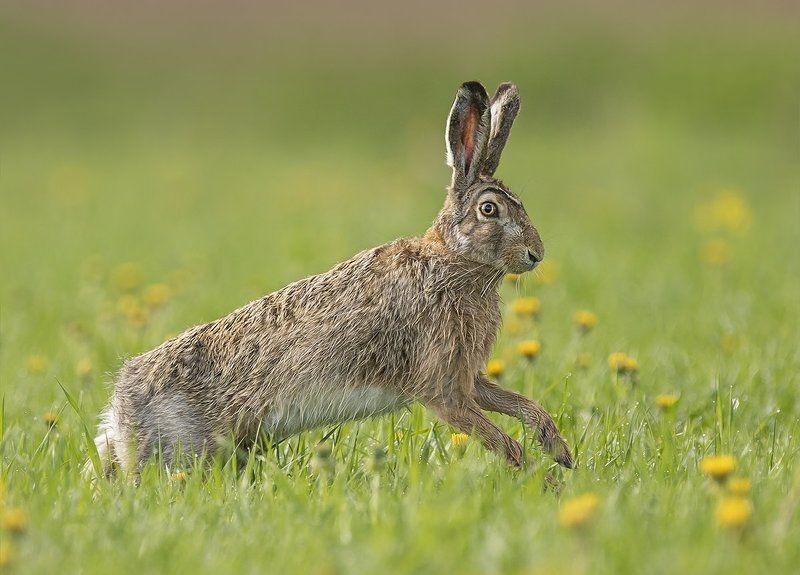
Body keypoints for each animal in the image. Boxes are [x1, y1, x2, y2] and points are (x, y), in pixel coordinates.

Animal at [90, 80, 574, 477]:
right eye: (489, 209)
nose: (536, 254)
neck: (454, 262)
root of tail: (118, 412)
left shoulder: (466, 376)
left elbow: (523, 405)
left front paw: (559, 451)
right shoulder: (441, 387)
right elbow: (498, 440)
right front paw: (540, 478)